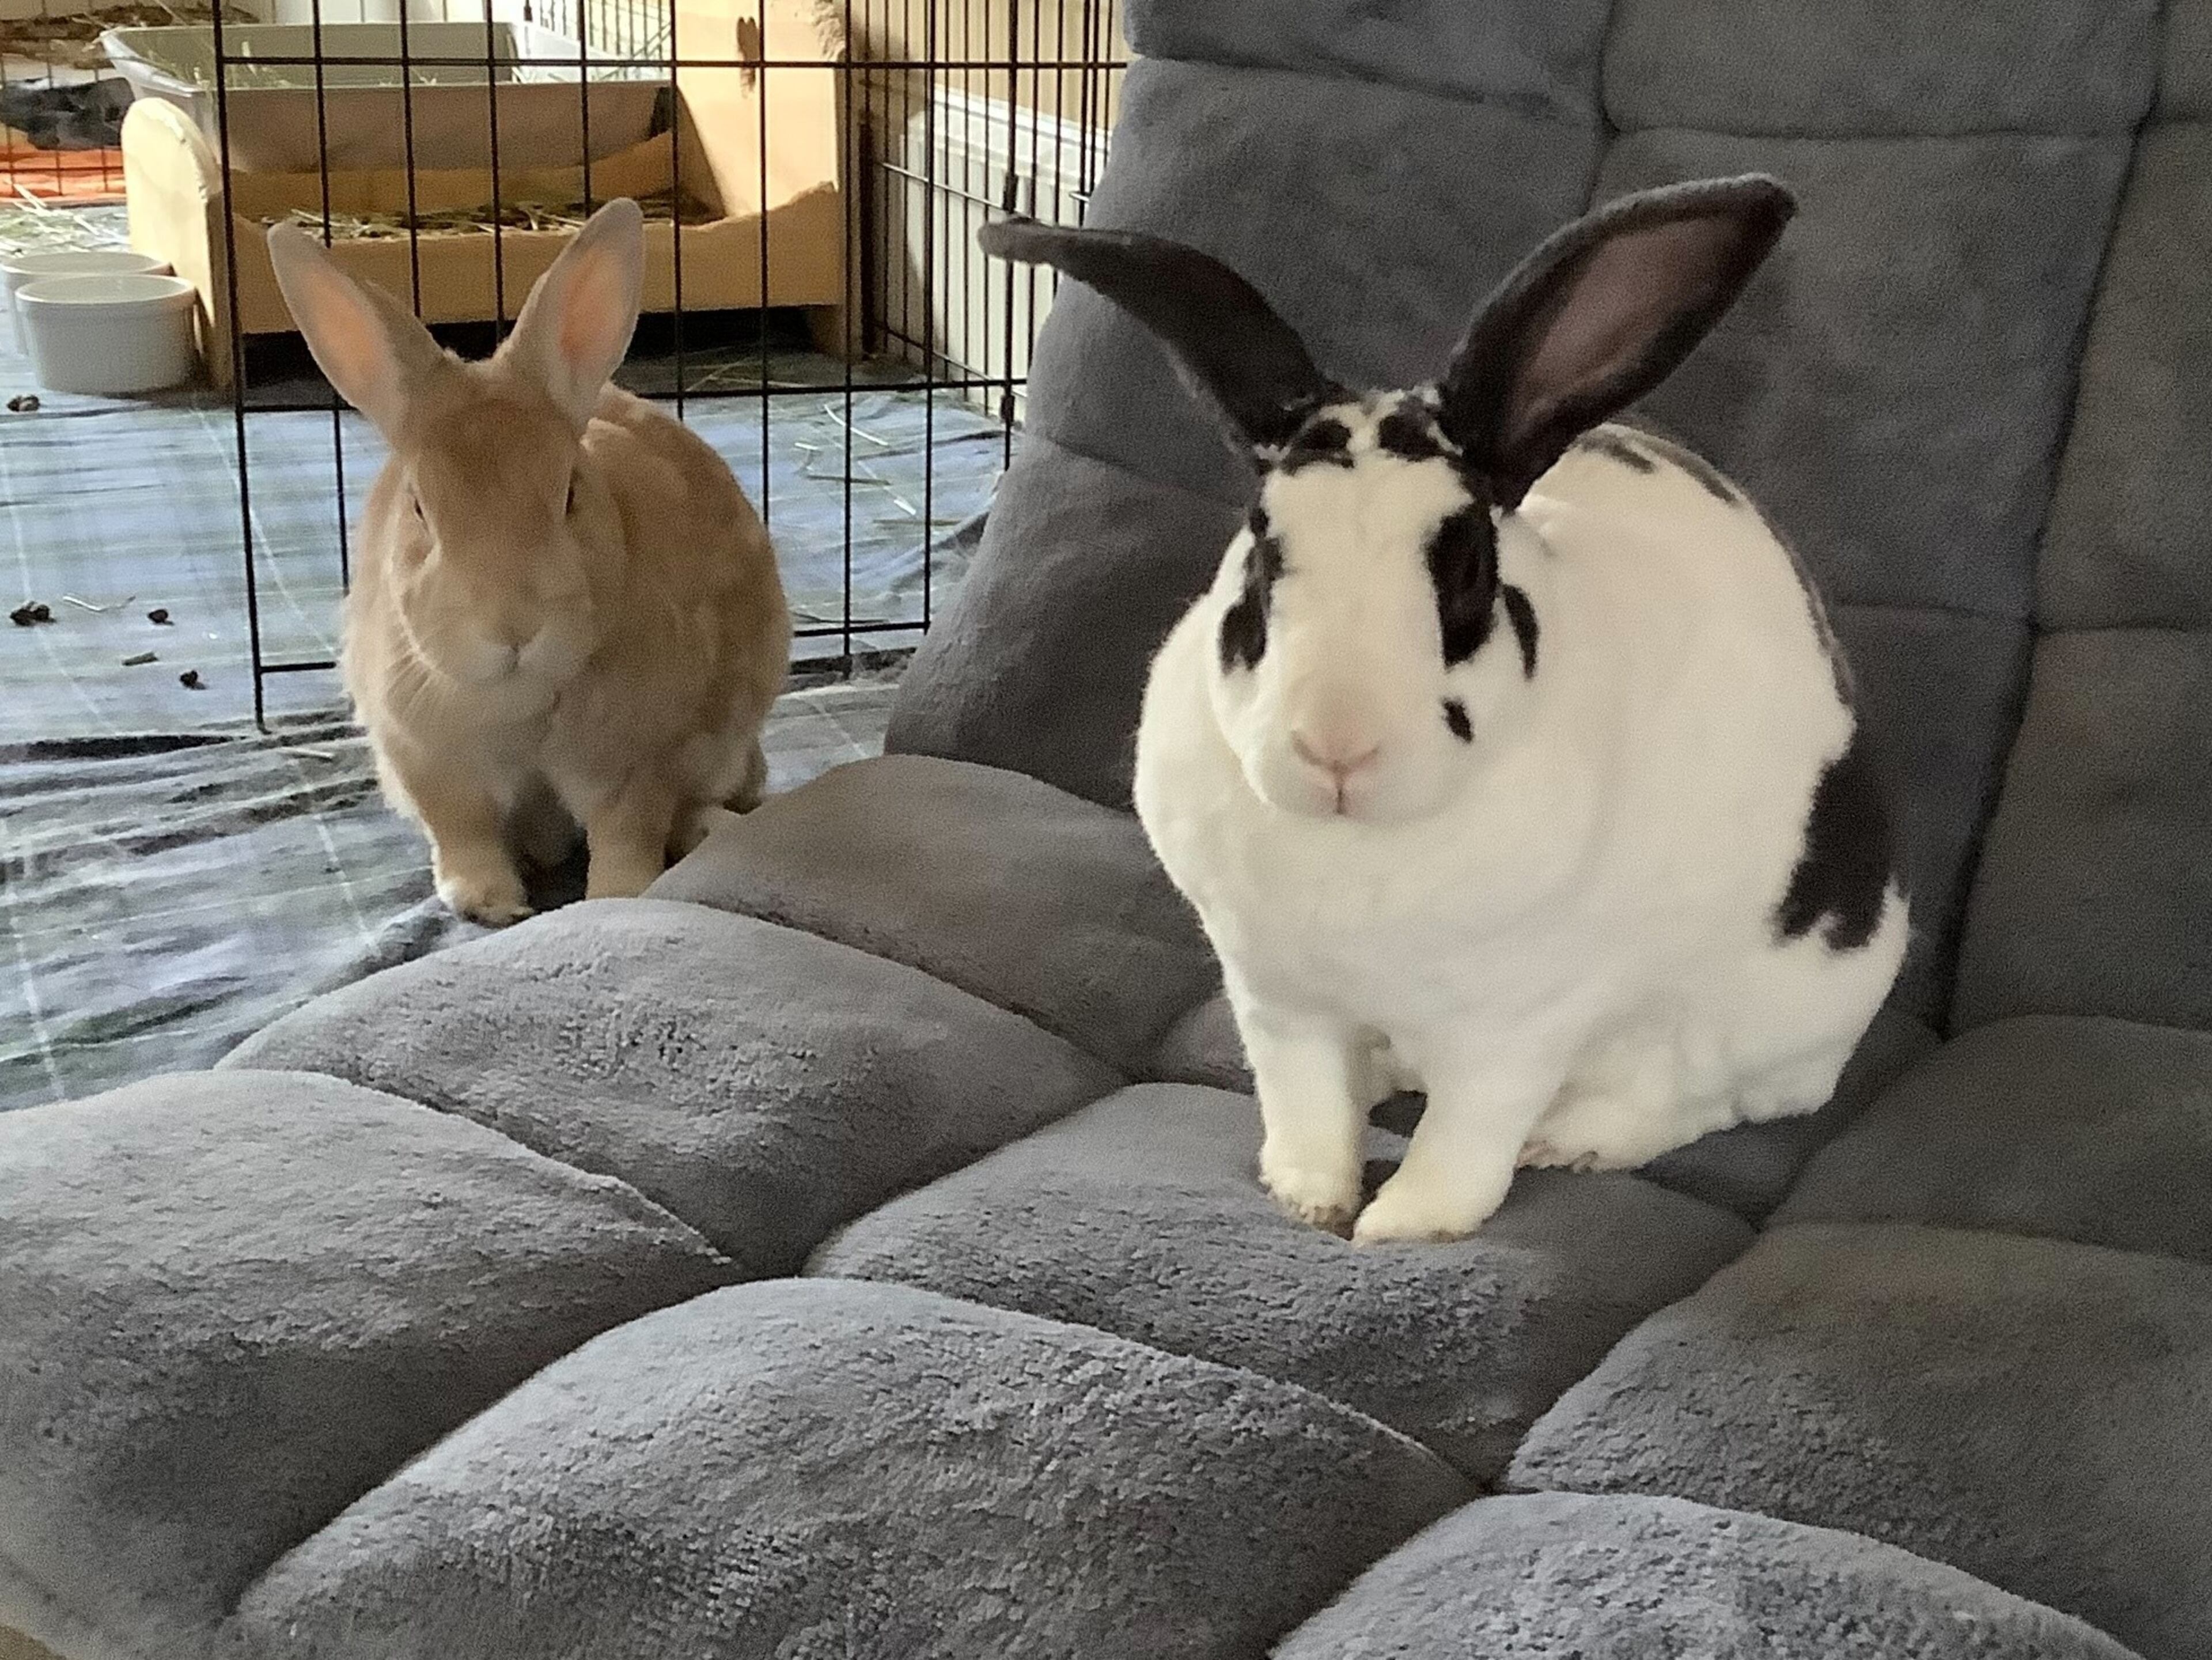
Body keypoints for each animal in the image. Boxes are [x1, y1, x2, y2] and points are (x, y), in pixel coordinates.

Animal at [267, 198, 792, 926]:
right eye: (420, 507)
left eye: (570, 491)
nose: (513, 628)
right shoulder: (427, 760)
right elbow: (463, 832)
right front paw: (487, 901)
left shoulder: (639, 761)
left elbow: (628, 831)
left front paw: (616, 895)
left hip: (727, 743)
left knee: (699, 803)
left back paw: (717, 829)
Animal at [980, 175, 1908, 1243]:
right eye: (1262, 550)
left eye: (1466, 567)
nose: (1336, 746)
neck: (1357, 850)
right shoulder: (1276, 998)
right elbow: (1302, 1097)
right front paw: (1308, 1195)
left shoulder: (1516, 1026)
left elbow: (1469, 1133)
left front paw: (1405, 1226)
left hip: (1766, 1017)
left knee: (1697, 1099)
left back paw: (1576, 1140)